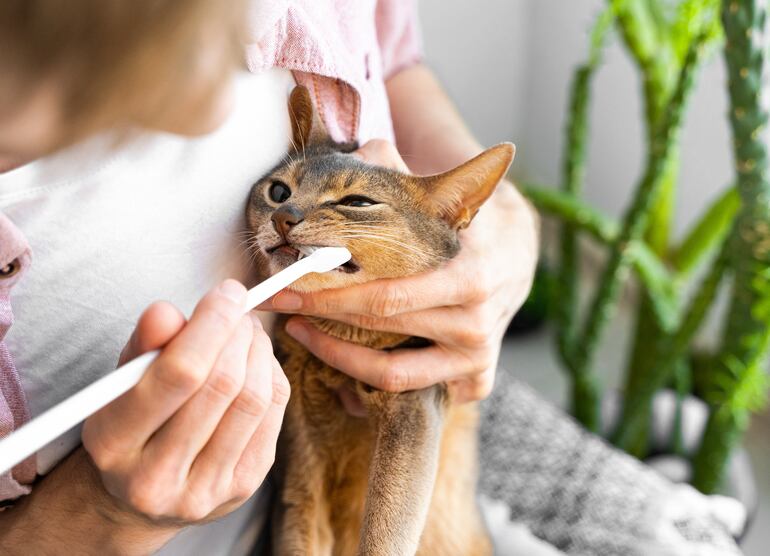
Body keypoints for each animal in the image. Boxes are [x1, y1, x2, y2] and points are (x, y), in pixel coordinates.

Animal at [244, 84, 510, 552]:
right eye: (278, 191)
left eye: (357, 202)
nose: (283, 217)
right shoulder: (300, 435)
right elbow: (301, 525)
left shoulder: (415, 405)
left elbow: (388, 526)